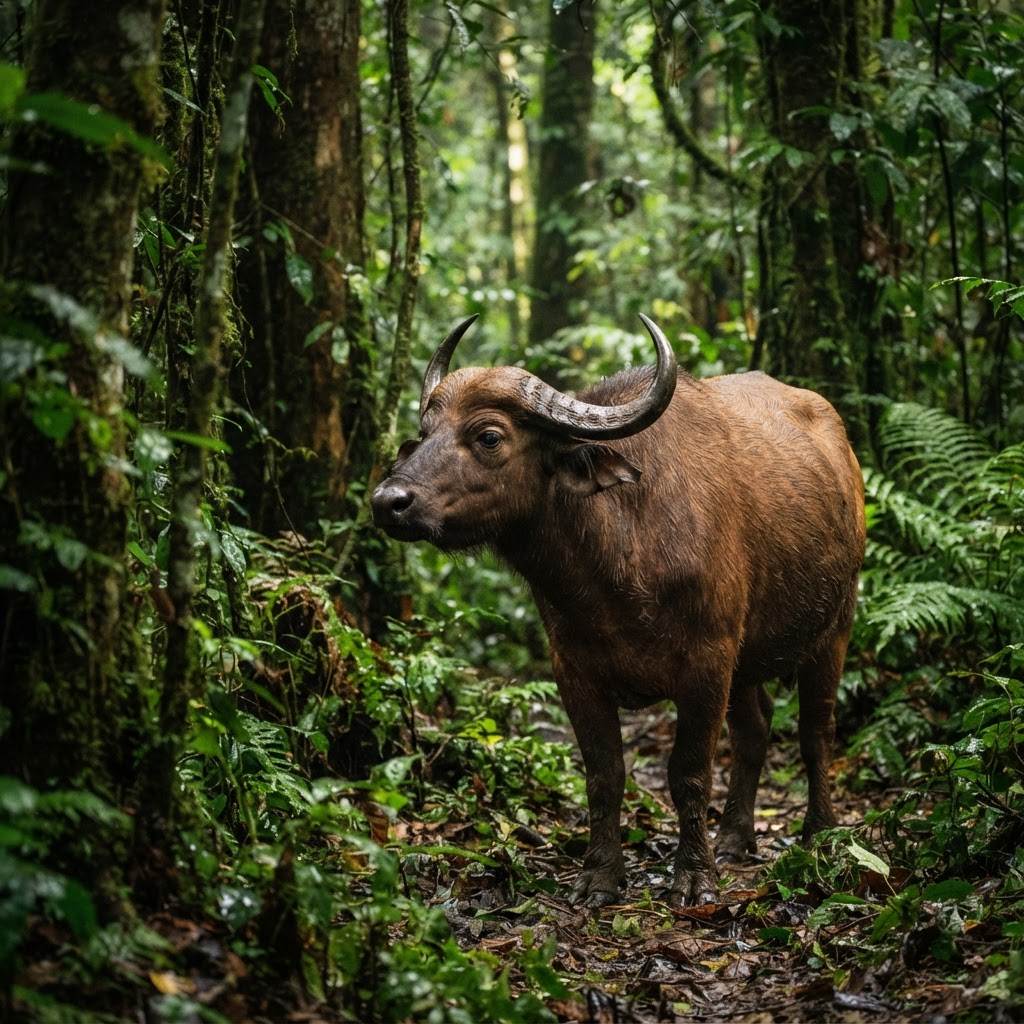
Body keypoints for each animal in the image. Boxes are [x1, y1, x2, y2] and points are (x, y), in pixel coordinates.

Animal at [372, 315, 865, 906]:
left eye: (489, 436)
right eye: (424, 434)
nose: (388, 502)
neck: (617, 560)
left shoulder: (708, 662)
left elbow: (689, 772)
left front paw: (693, 877)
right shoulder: (574, 670)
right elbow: (604, 775)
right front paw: (600, 875)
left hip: (835, 626)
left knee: (817, 731)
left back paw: (821, 833)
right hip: (750, 659)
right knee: (756, 730)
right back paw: (733, 838)